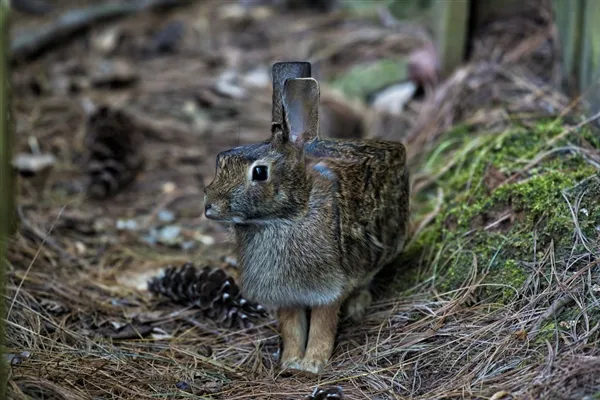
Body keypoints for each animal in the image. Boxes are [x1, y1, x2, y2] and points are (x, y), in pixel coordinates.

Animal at [204, 61, 410, 374]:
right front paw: (290, 362)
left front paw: (313, 363)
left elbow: (322, 325)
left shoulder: (329, 287)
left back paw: (357, 306)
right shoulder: (287, 296)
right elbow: (292, 327)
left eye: (259, 172)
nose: (209, 206)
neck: (287, 217)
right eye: (219, 161)